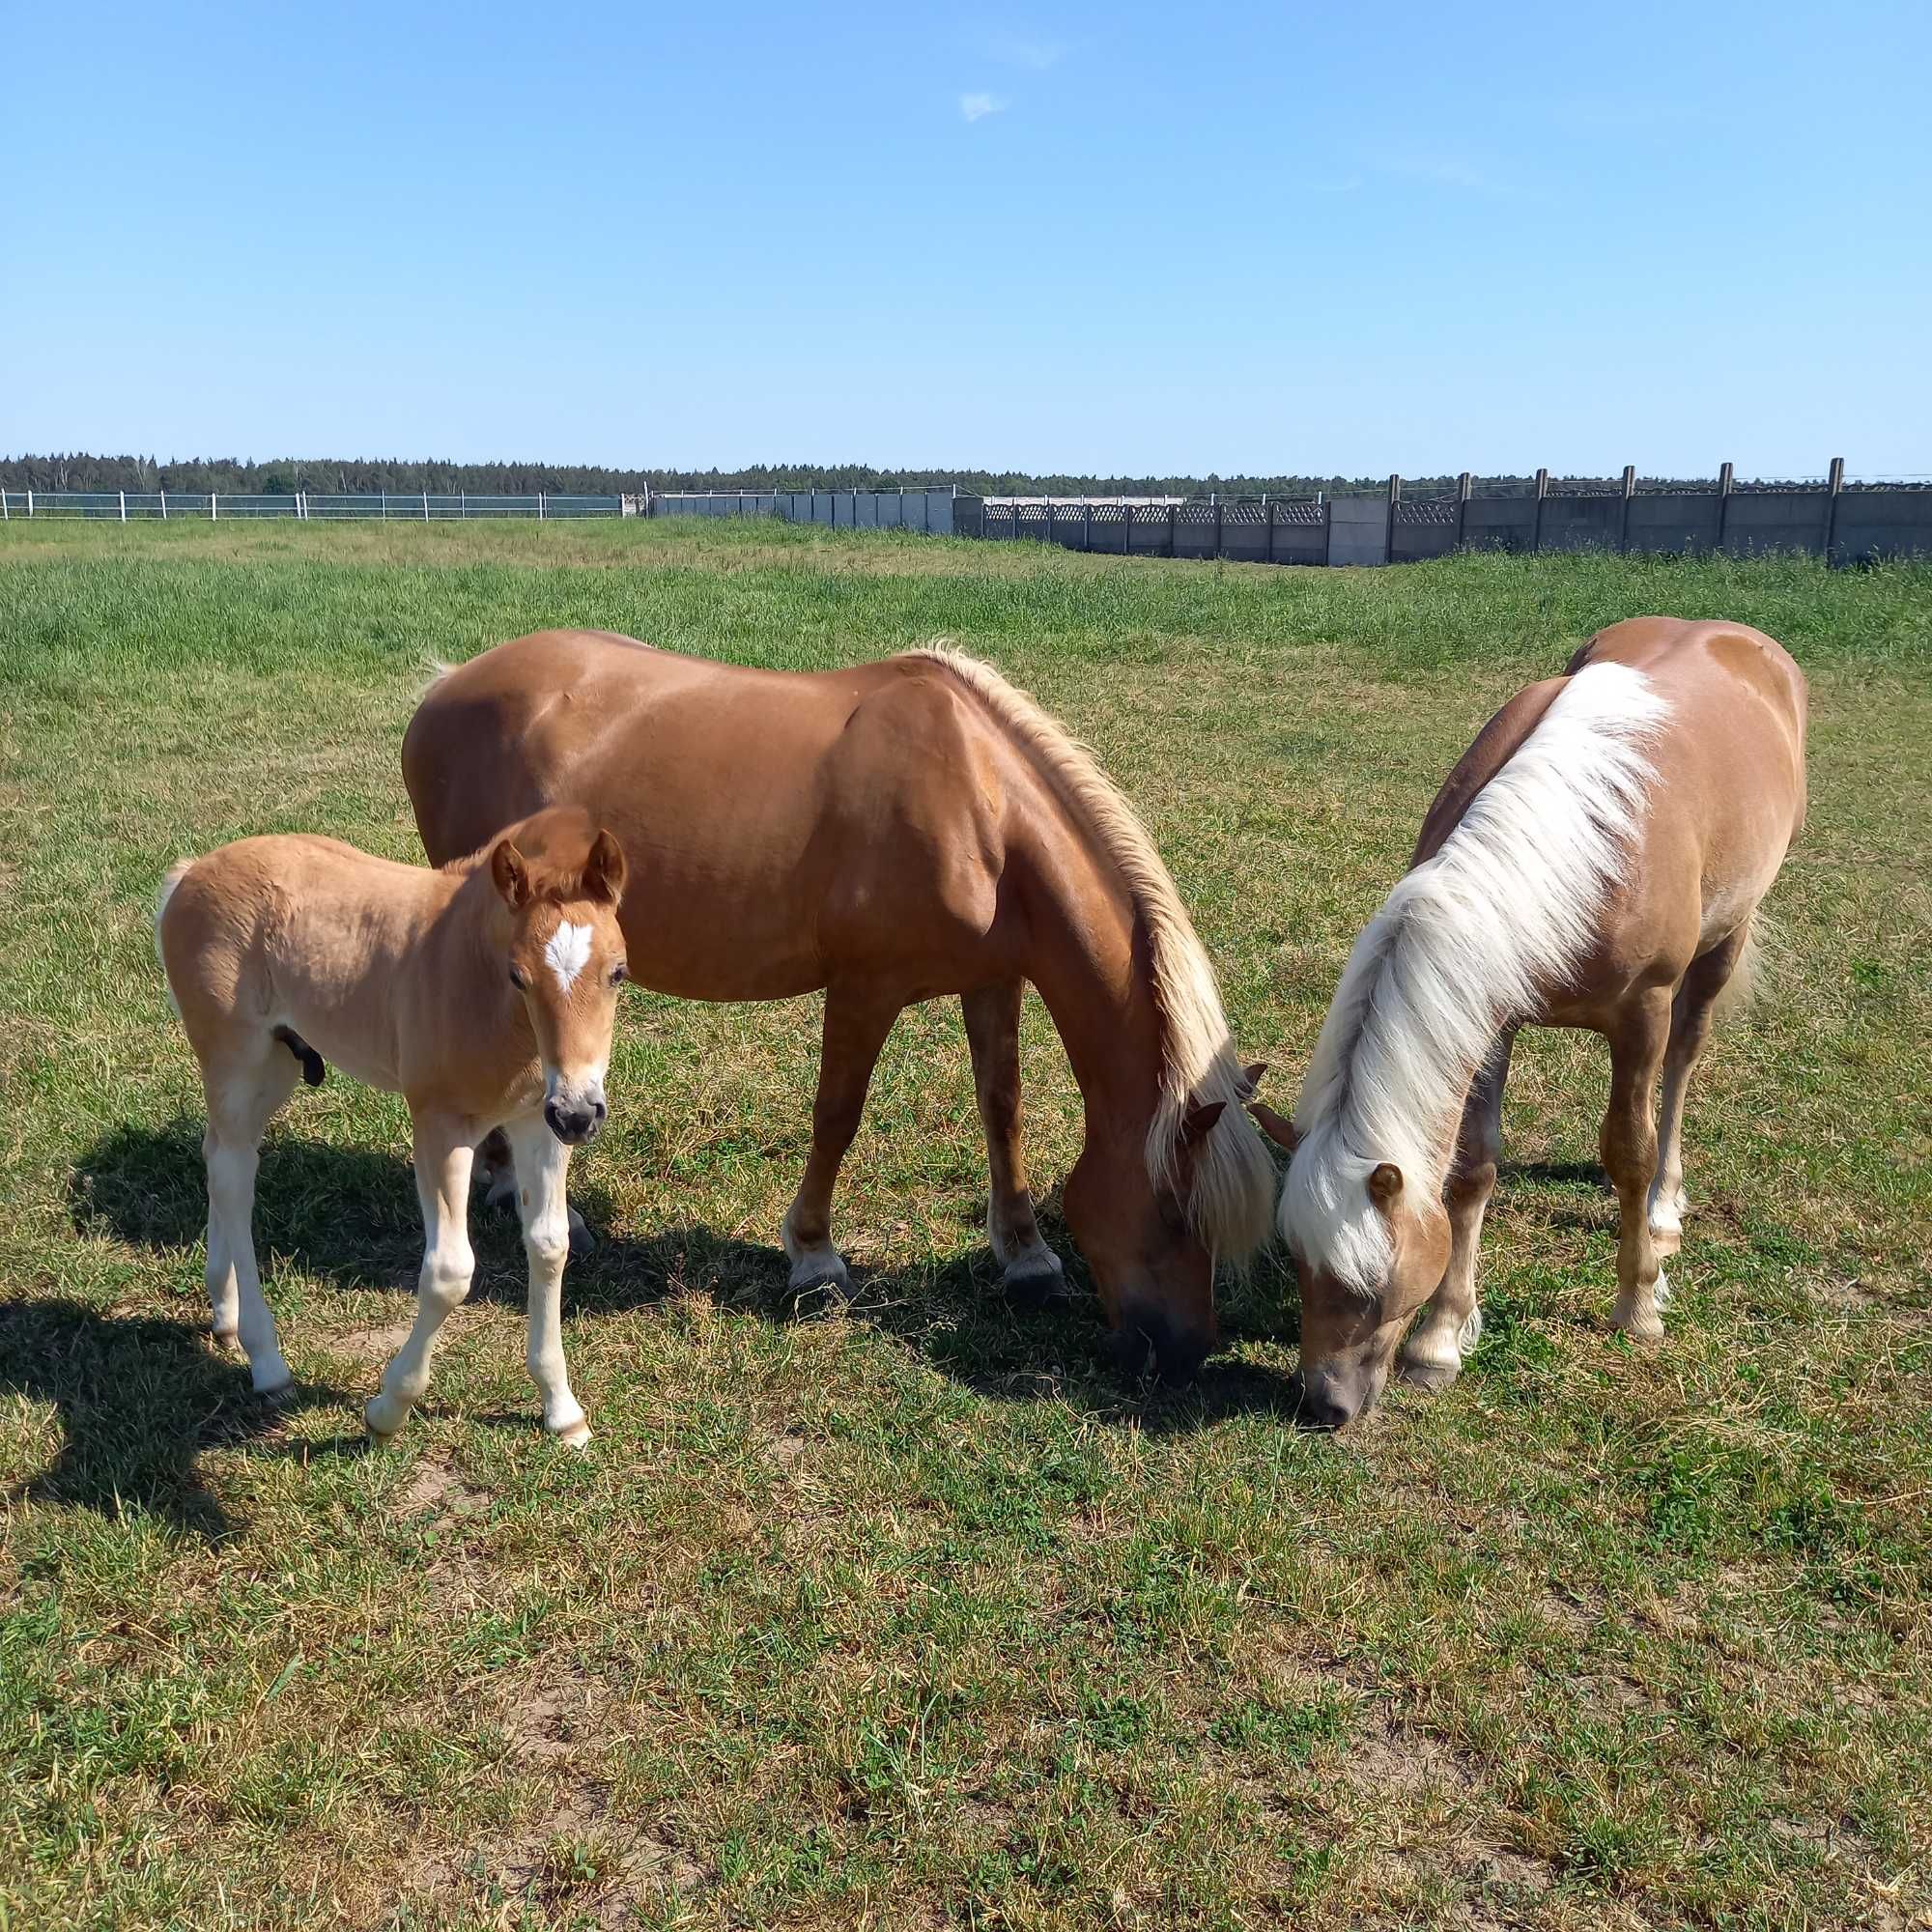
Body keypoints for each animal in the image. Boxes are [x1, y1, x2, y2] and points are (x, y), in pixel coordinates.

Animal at [157, 808, 630, 1445]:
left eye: (618, 973)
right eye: (518, 976)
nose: (579, 1113)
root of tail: (190, 872)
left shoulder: (536, 1121)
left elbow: (550, 1245)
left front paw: (562, 1410)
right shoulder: (440, 1125)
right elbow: (450, 1272)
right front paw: (388, 1410)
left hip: (278, 1061)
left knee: (222, 1157)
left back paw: (225, 1312)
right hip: (235, 1058)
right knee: (234, 1176)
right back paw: (268, 1362)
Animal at [404, 626, 1283, 1383]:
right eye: (1174, 1214)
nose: (1182, 1355)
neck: (980, 806)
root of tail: (447, 685)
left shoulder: (994, 981)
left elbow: (1002, 1107)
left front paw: (1026, 1255)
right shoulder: (866, 987)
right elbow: (838, 1114)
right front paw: (814, 1256)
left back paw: (501, 1180)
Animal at [1252, 622, 1808, 1437]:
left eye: (1375, 1285)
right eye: (1296, 1262)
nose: (1325, 1405)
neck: (1587, 851)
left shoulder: (1643, 1012)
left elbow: (1629, 1152)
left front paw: (1638, 1304)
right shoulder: (1490, 1018)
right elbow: (1473, 1169)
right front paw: (1442, 1342)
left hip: (1722, 943)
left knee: (1683, 1065)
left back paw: (1665, 1209)